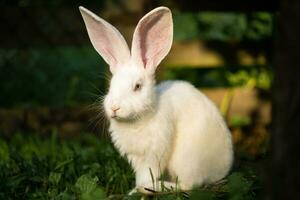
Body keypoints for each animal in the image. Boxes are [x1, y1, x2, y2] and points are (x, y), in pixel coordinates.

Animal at [78, 6, 233, 193]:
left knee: (189, 185)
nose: (114, 107)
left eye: (137, 86)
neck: (138, 120)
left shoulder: (154, 153)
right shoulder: (136, 158)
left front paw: (139, 189)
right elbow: (140, 175)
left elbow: (148, 174)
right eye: (111, 85)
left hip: (187, 160)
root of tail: (221, 170)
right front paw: (134, 190)